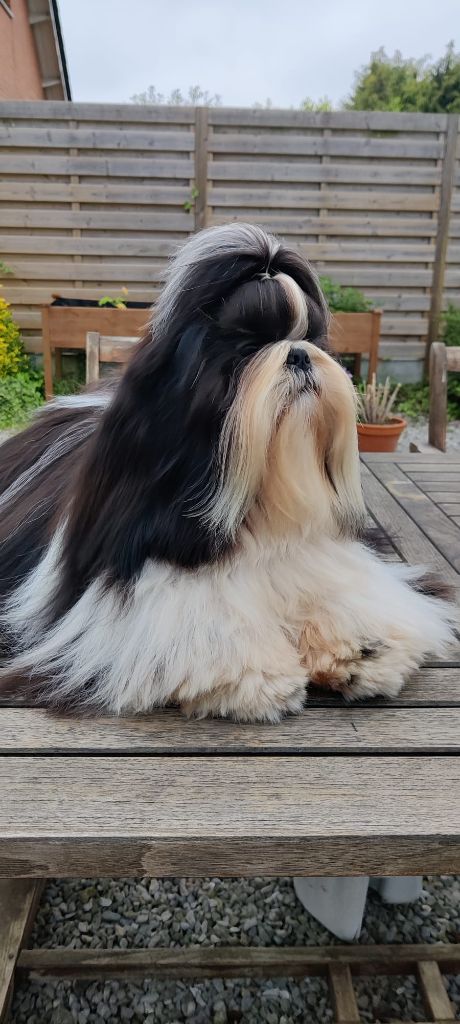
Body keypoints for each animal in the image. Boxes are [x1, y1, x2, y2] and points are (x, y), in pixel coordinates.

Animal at [0, 223, 457, 720]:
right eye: (246, 348)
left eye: (314, 339)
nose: (299, 355)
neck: (259, 504)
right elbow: (190, 614)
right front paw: (254, 673)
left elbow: (339, 586)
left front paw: (363, 648)